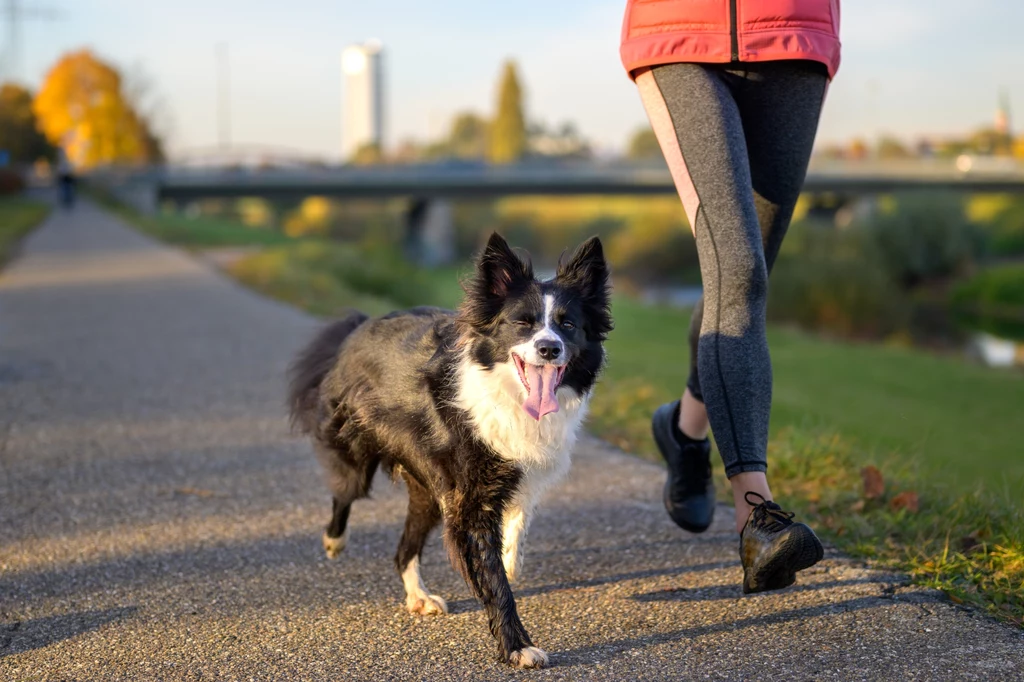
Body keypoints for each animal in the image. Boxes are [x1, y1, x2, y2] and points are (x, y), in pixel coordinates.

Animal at [284, 232, 610, 663]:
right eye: (522, 324)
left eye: (568, 324)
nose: (549, 349)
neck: (510, 394)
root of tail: (359, 325)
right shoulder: (469, 500)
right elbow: (494, 580)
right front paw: (518, 647)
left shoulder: (516, 476)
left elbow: (517, 525)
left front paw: (511, 559)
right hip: (357, 453)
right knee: (345, 493)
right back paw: (334, 542)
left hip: (428, 490)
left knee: (404, 548)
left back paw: (419, 596)